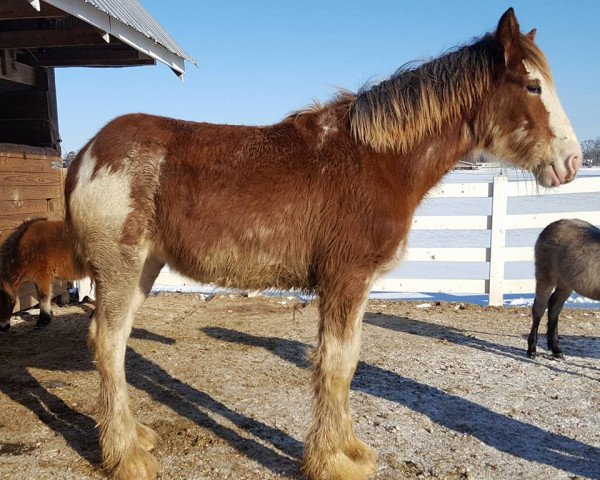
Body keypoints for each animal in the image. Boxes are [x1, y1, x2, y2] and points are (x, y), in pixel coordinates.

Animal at [63, 8, 580, 480]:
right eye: (533, 87)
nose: (572, 162)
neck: (377, 160)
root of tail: (87, 152)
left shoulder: (356, 286)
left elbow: (346, 363)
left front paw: (349, 450)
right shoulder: (345, 281)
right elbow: (336, 365)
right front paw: (331, 461)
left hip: (143, 270)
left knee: (115, 345)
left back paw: (136, 436)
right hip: (121, 269)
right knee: (108, 345)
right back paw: (127, 457)